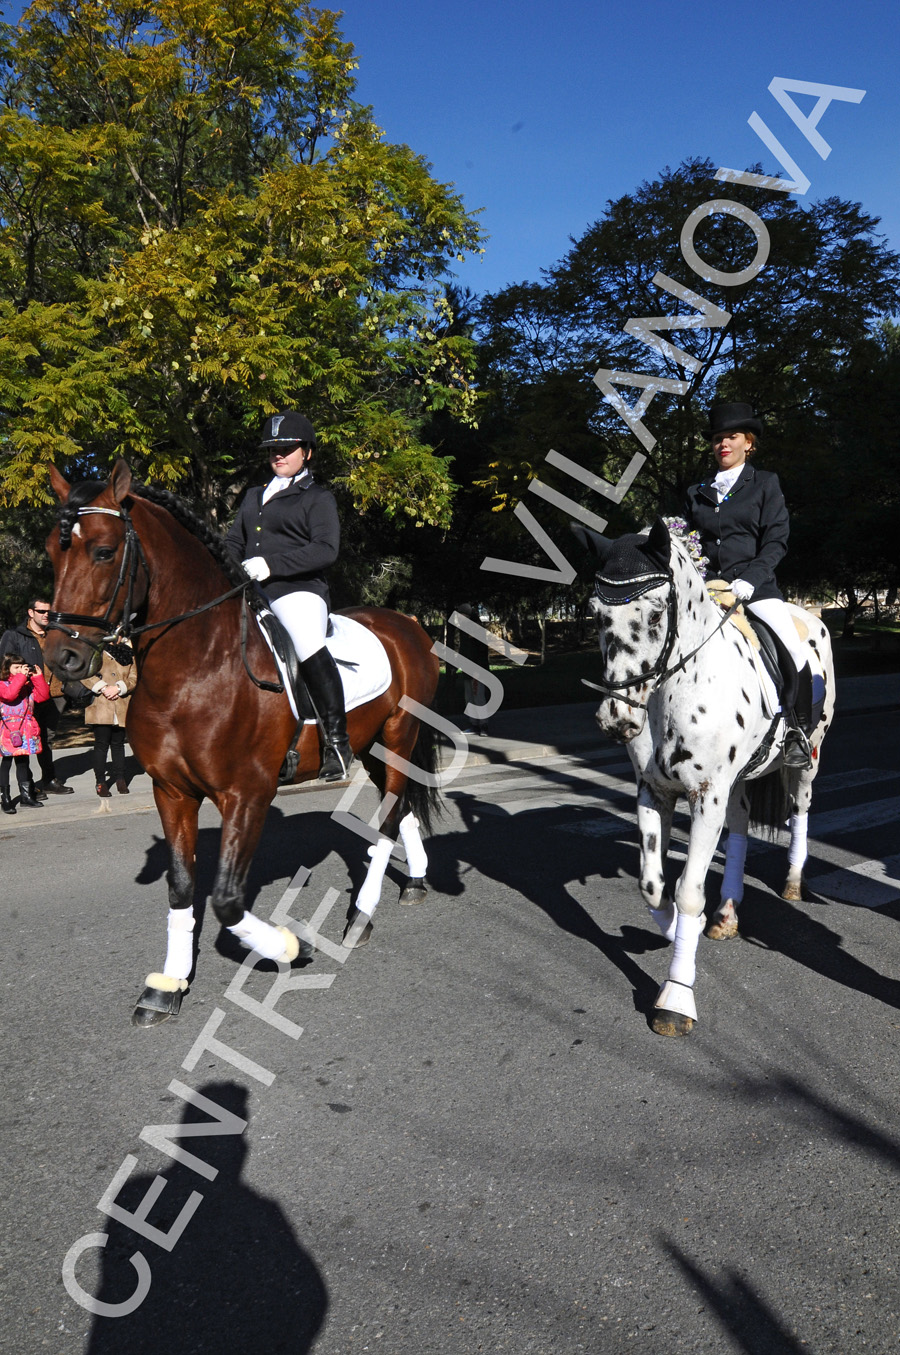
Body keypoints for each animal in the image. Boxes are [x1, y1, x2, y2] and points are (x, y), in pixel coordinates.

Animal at [44, 460, 444, 1018]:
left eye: (103, 550)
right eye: (49, 551)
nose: (62, 659)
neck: (197, 668)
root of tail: (407, 624)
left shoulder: (247, 793)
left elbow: (227, 899)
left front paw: (290, 947)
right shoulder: (172, 792)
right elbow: (182, 887)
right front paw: (168, 984)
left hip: (400, 734)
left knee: (387, 818)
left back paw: (361, 916)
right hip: (371, 746)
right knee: (400, 804)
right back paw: (415, 881)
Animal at [571, 517, 834, 1035]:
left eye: (656, 614)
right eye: (594, 615)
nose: (616, 719)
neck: (676, 687)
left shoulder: (705, 794)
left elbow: (689, 890)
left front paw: (676, 995)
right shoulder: (654, 791)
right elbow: (652, 884)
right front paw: (675, 929)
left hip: (807, 761)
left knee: (800, 812)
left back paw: (794, 881)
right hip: (737, 780)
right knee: (741, 826)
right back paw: (727, 913)